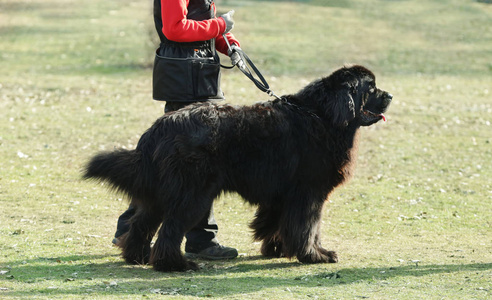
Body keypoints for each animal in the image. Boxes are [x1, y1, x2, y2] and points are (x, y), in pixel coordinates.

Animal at [83, 65, 392, 272]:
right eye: (370, 88)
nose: (389, 95)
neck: (323, 116)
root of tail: (162, 125)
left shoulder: (282, 193)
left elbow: (276, 222)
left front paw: (276, 249)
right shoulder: (309, 193)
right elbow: (308, 227)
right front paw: (315, 254)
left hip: (161, 190)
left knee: (142, 222)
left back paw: (137, 256)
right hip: (193, 193)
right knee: (170, 228)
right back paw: (174, 265)